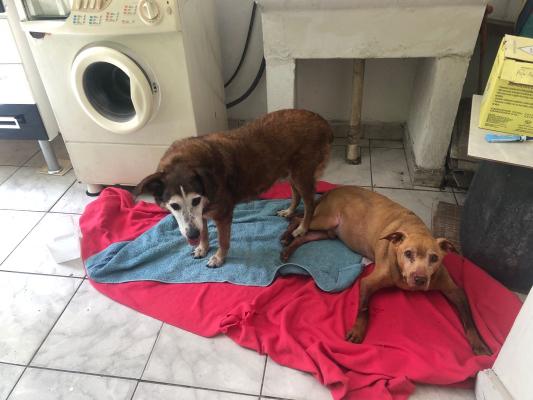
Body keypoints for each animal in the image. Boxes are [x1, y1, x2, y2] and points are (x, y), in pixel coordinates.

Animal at [135, 109, 332, 268]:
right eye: (174, 206)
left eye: (195, 200)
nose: (191, 235)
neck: (185, 160)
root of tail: (321, 121)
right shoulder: (202, 216)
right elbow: (204, 233)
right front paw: (203, 248)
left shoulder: (222, 215)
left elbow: (222, 240)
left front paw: (218, 258)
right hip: (291, 173)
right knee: (296, 195)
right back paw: (289, 211)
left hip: (302, 174)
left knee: (310, 204)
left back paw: (302, 228)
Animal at [280, 186, 491, 355]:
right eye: (408, 253)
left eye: (434, 258)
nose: (420, 279)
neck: (416, 230)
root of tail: (332, 190)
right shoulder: (368, 282)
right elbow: (364, 308)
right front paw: (358, 330)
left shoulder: (455, 291)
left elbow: (469, 318)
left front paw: (478, 342)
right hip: (326, 220)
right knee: (299, 219)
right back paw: (286, 234)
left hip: (327, 232)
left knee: (303, 236)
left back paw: (288, 249)